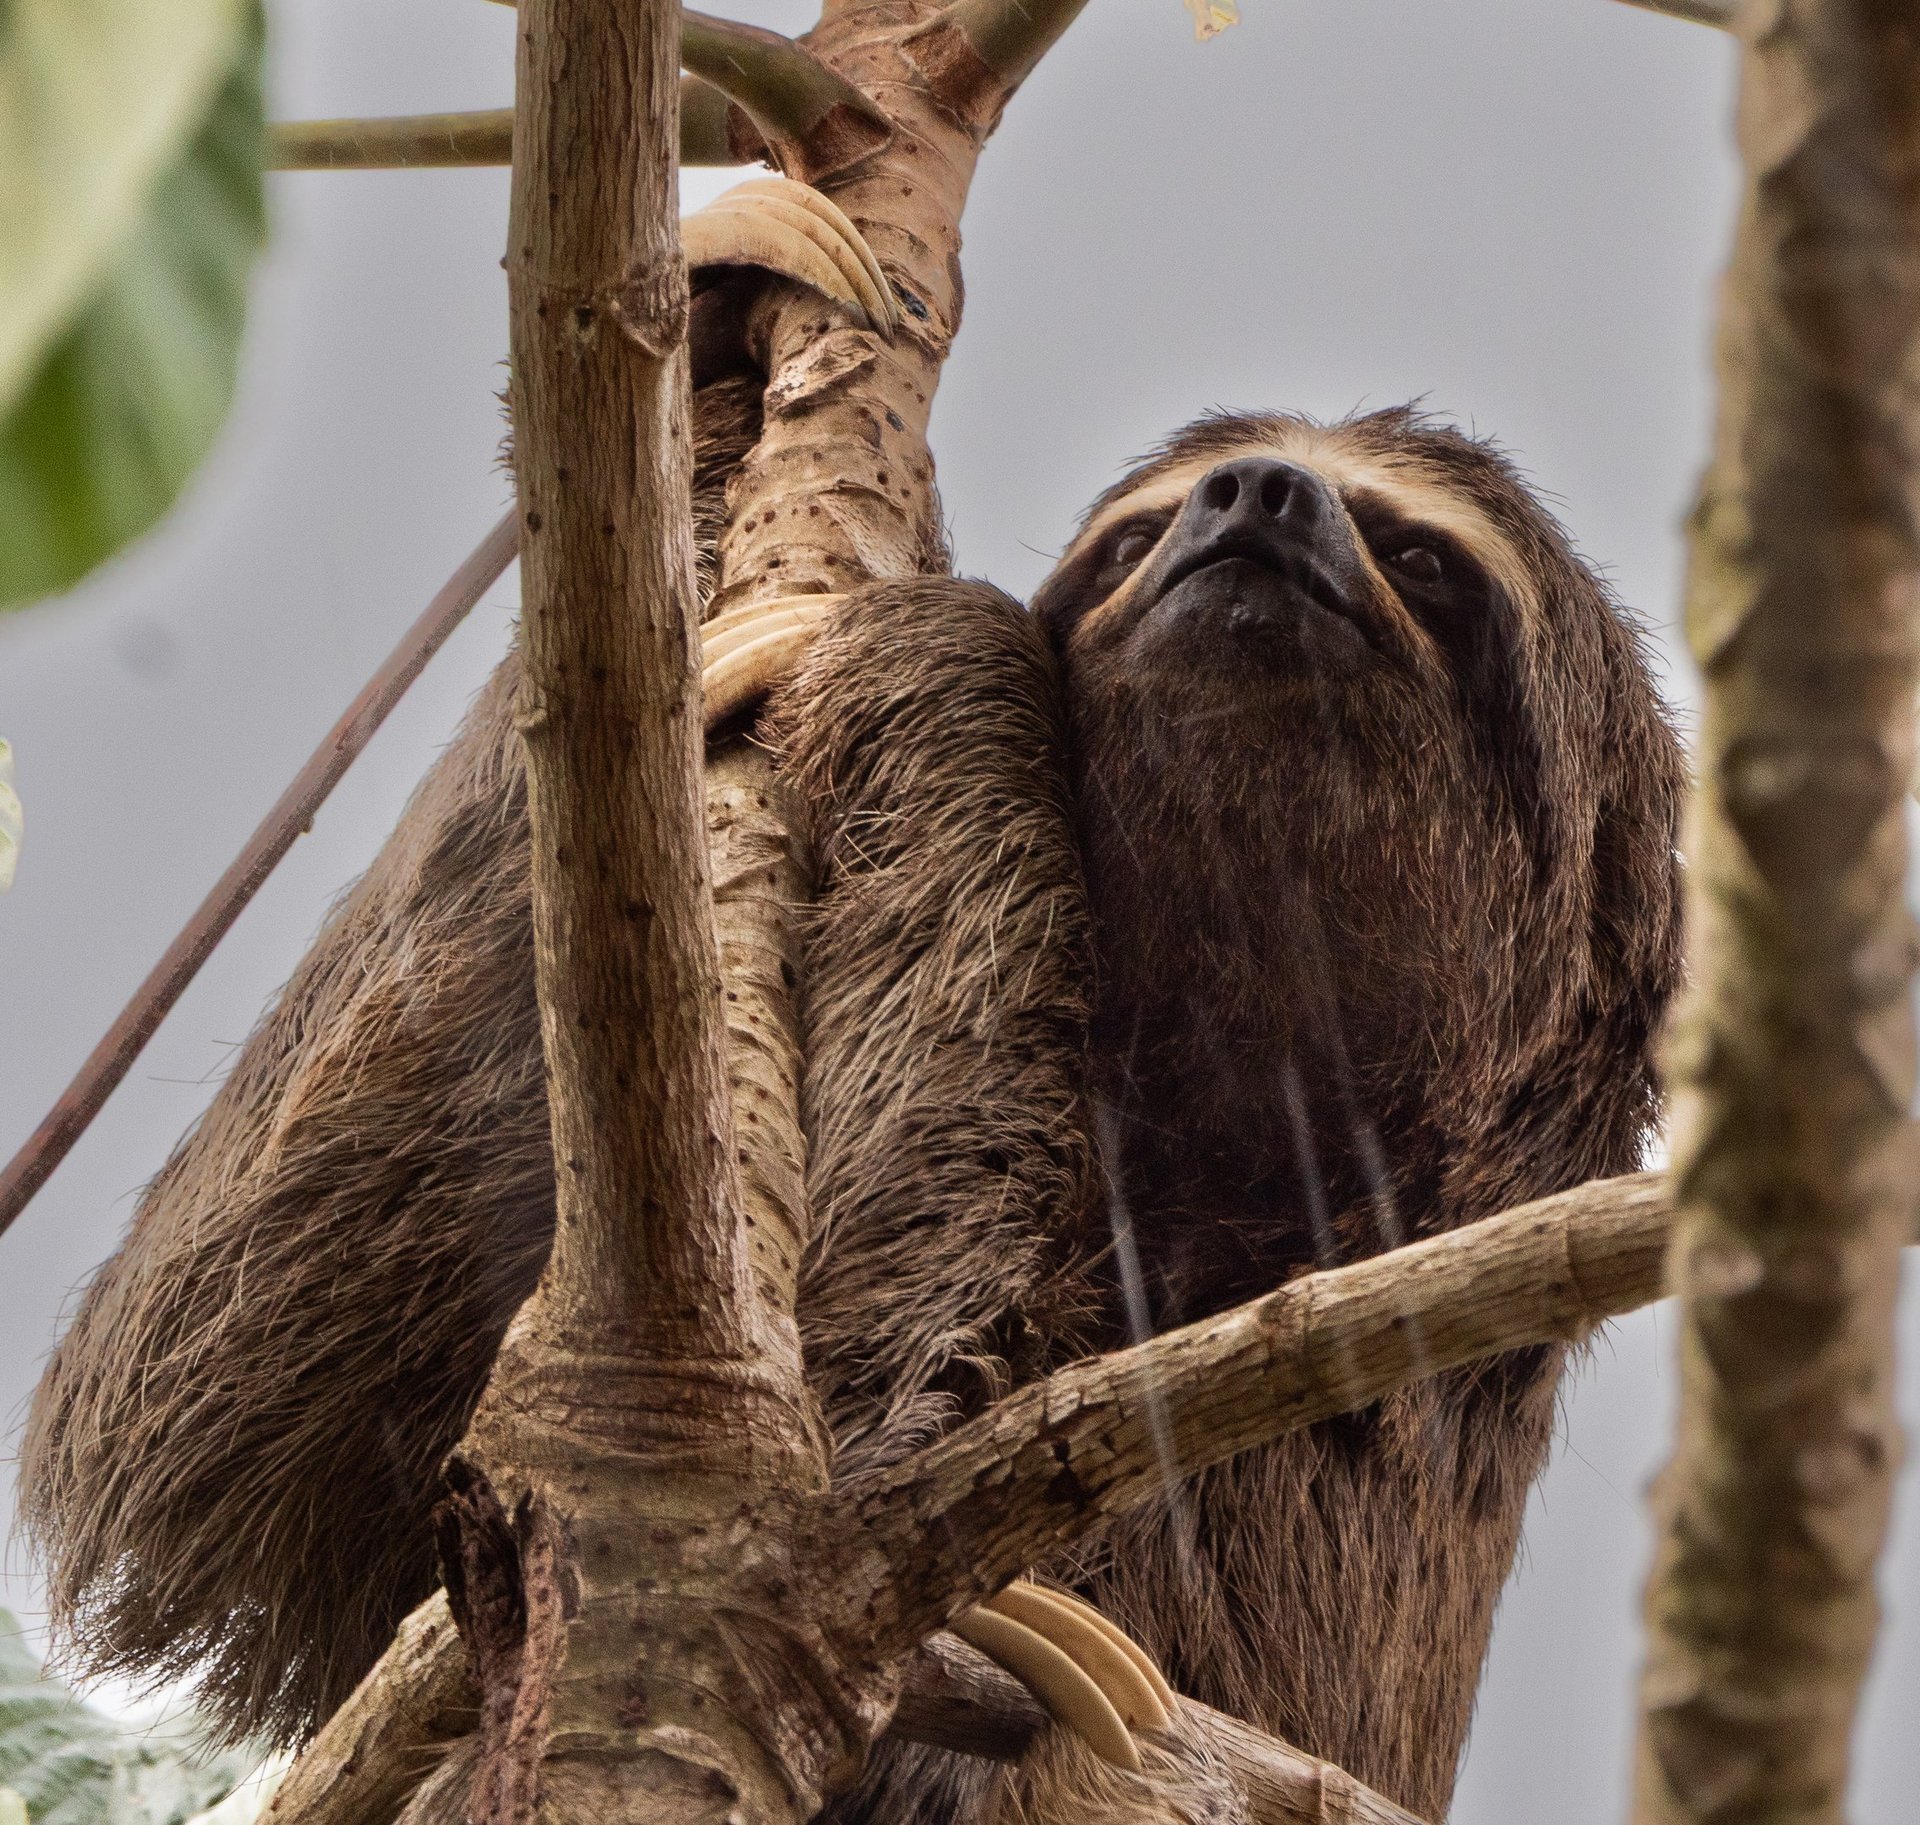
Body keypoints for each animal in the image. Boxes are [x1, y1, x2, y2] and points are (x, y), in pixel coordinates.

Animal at [20, 336, 1682, 1821]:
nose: (1258, 501)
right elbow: (230, 1452)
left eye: (1424, 561)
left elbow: (874, 1450)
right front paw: (715, 383)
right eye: (1138, 536)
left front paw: (942, 639)